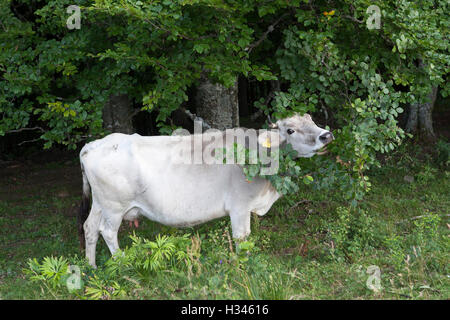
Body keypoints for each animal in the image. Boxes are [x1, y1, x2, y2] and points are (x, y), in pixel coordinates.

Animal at [77, 114, 332, 266]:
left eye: (311, 120)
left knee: (89, 228)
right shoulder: (239, 206)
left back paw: (91, 266)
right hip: (114, 207)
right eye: (290, 130)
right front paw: (244, 265)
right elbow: (242, 238)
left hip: (100, 203)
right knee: (107, 232)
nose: (326, 134)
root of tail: (94, 144)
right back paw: (122, 263)